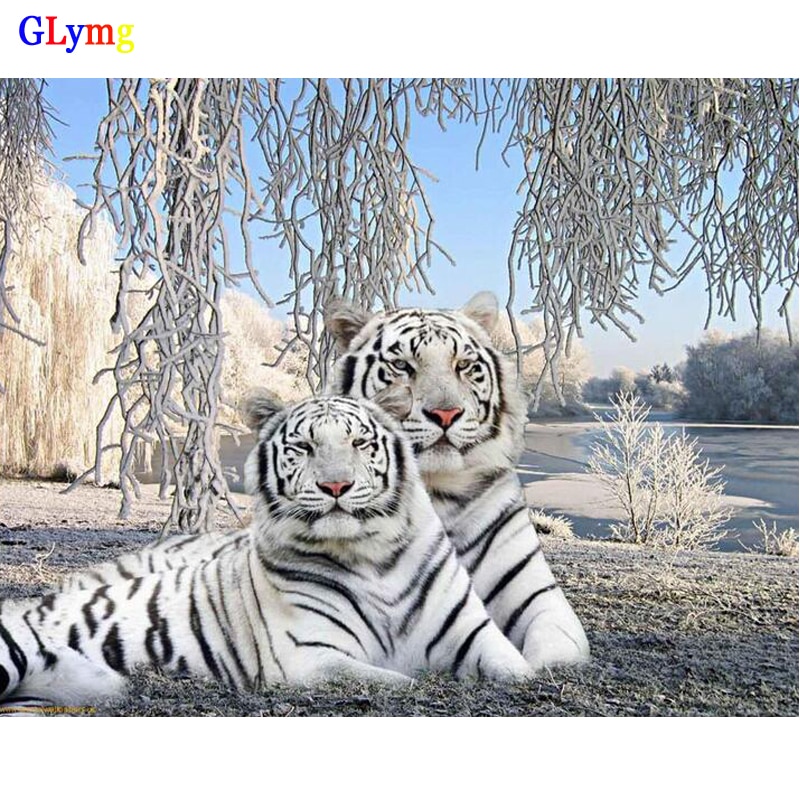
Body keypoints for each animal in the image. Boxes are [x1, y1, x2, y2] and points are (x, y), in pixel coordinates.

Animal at [0, 391, 532, 707]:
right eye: (302, 448)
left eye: (360, 443)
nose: (335, 486)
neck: (372, 557)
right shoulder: (310, 657)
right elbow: (401, 679)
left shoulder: (473, 634)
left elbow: (518, 669)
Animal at [325, 291, 590, 671]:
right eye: (402, 366)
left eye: (463, 365)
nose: (446, 414)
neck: (438, 490)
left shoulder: (536, 593)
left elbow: (555, 645)